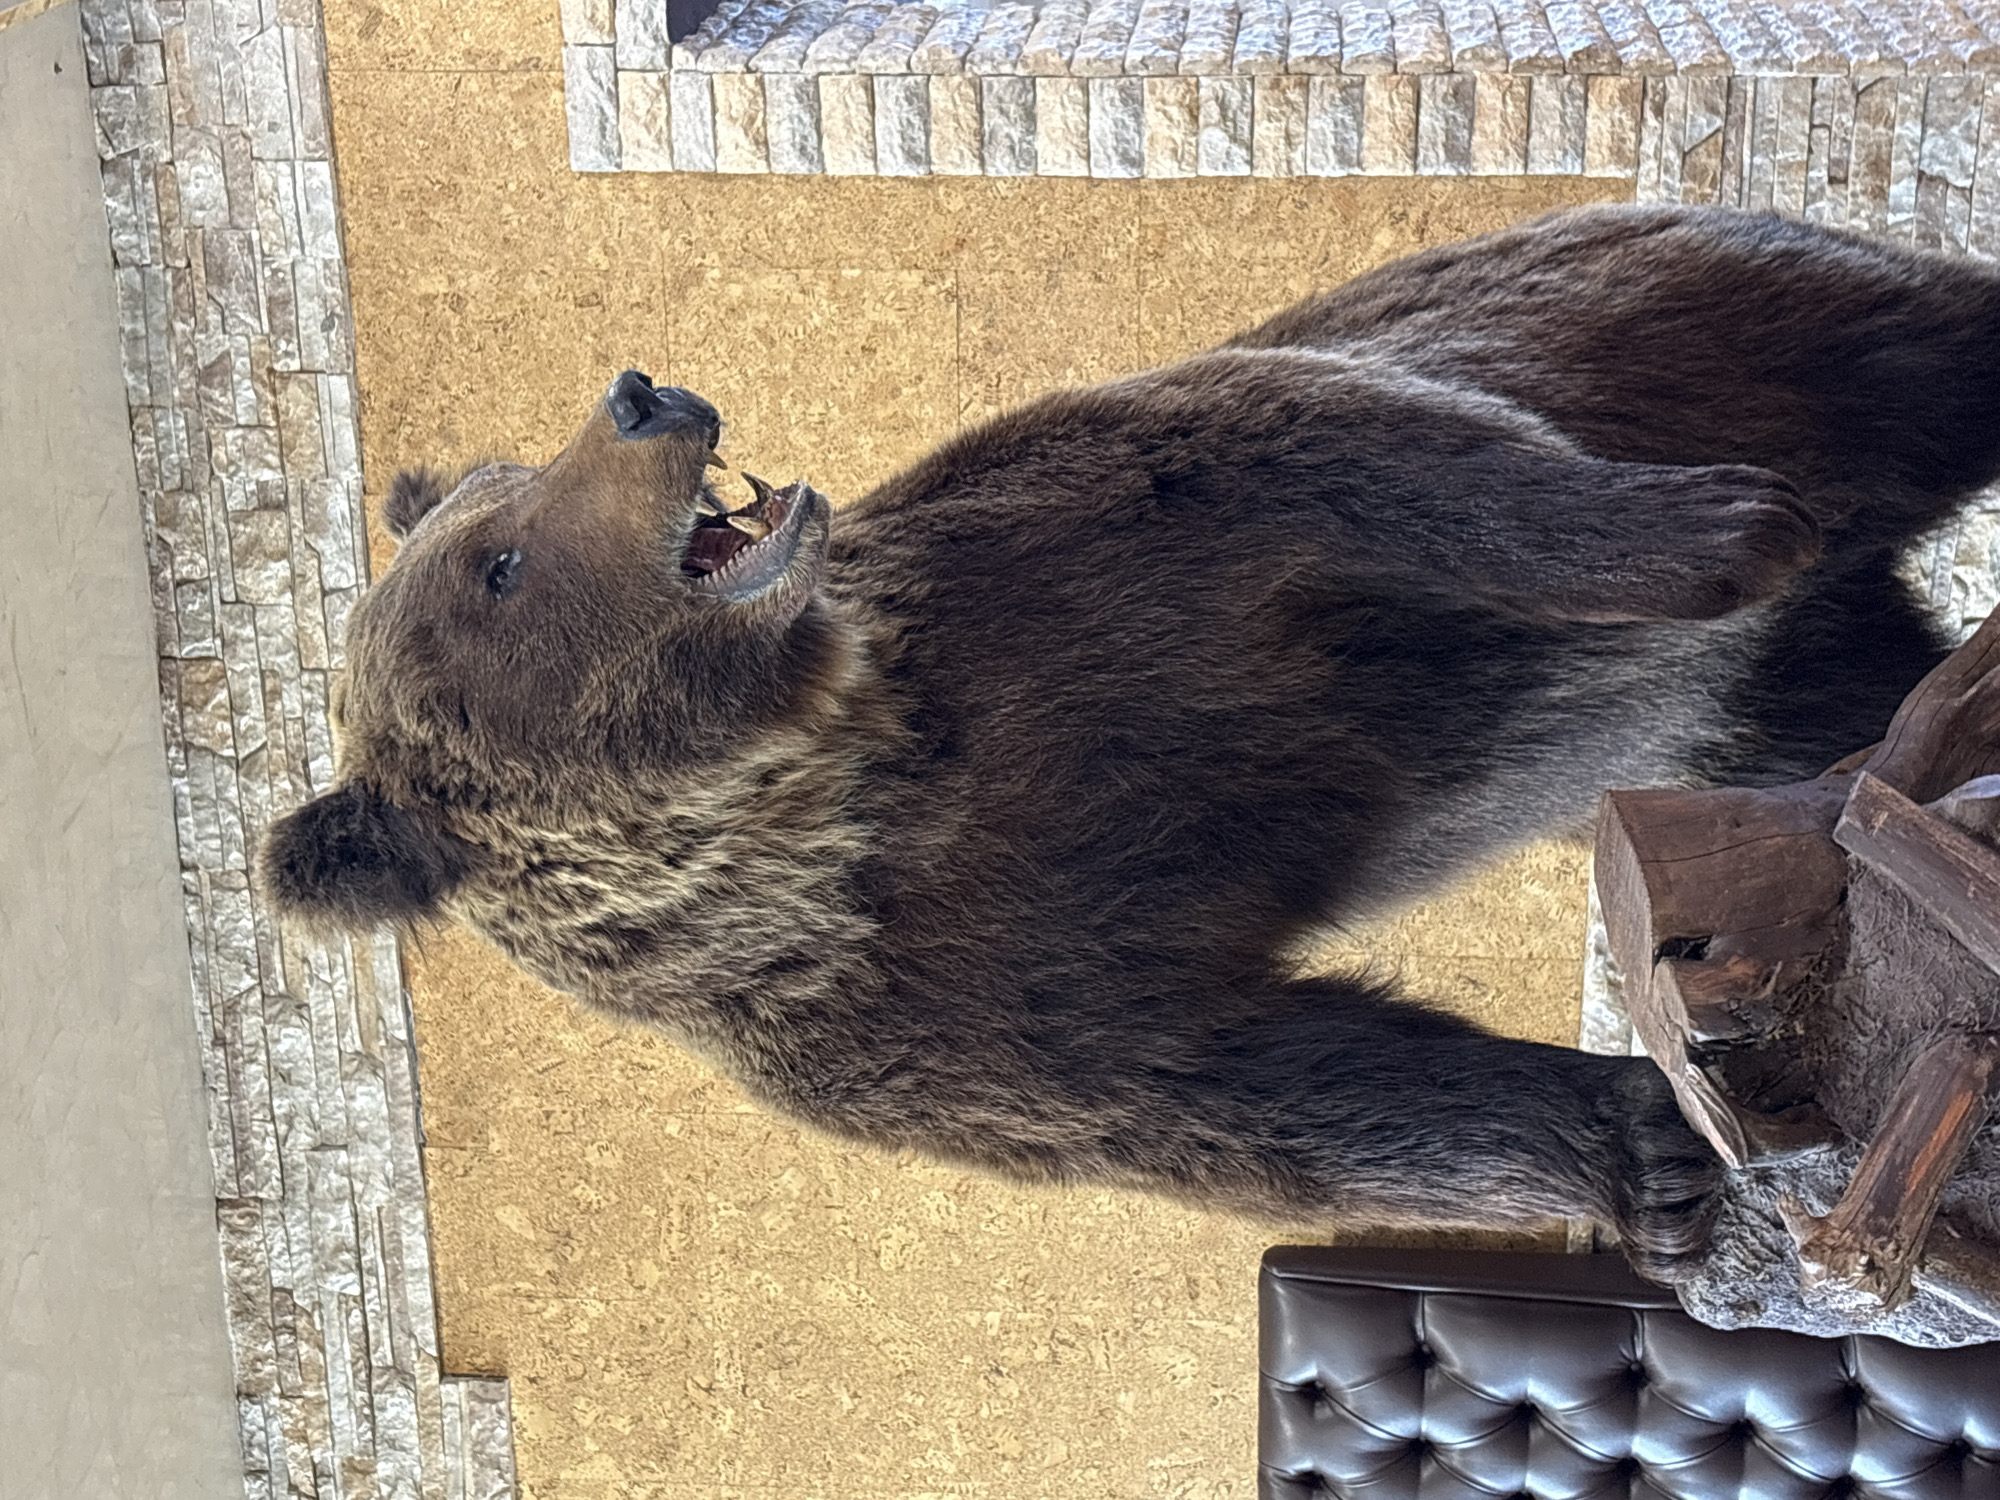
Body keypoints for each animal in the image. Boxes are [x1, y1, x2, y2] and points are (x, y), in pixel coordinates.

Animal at [260, 204, 2000, 1285]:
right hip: (1760, 721)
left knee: (1907, 341)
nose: (636, 393)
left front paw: (1720, 530)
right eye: (499, 563)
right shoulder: (965, 1019)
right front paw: (1658, 1170)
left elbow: (1342, 445)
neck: (847, 796)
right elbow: (1265, 1093)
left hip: (1687, 317)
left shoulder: (1099, 563)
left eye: (502, 486)